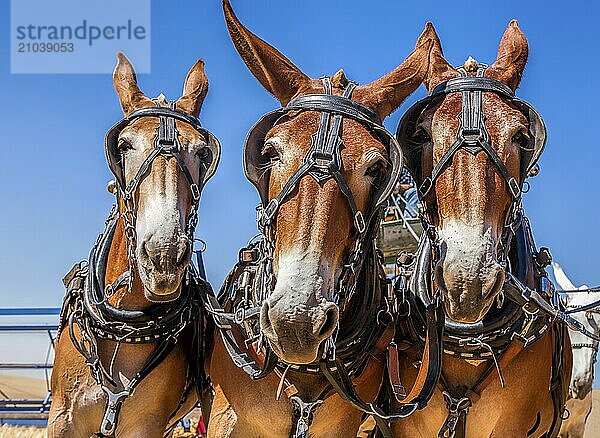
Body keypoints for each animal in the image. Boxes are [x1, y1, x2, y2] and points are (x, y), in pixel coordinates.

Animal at [49, 53, 218, 436]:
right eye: (124, 145)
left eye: (203, 152)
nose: (164, 256)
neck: (123, 330)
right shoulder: (63, 418)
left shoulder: (147, 424)